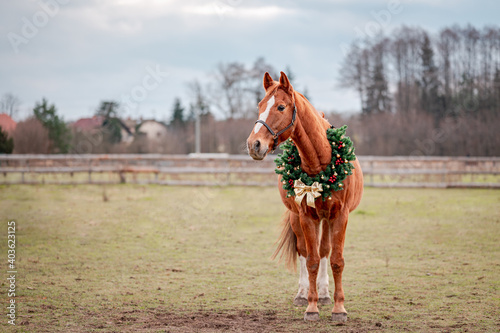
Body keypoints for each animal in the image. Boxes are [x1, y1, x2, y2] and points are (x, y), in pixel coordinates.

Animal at [246, 71, 364, 320]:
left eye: (281, 106)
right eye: (260, 105)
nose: (254, 144)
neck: (322, 161)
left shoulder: (340, 217)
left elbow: (336, 260)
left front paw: (339, 308)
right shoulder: (307, 217)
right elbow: (310, 261)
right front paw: (311, 306)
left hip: (327, 220)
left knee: (325, 251)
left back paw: (326, 294)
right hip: (297, 218)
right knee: (304, 251)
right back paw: (302, 294)